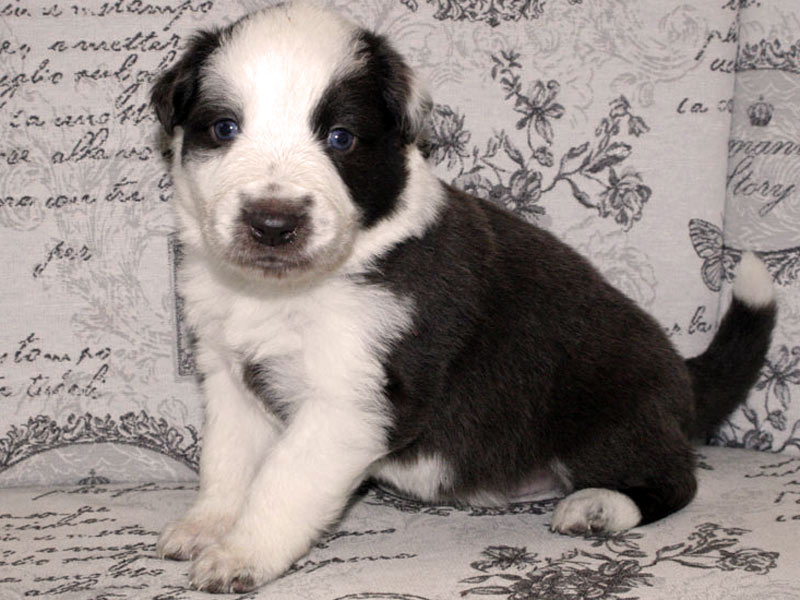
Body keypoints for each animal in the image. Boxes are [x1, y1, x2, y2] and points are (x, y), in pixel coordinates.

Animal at [148, 0, 776, 592]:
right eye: (224, 128)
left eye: (340, 138)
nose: (273, 223)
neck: (280, 292)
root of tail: (683, 374)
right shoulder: (228, 373)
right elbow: (227, 461)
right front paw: (207, 527)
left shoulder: (352, 399)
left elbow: (284, 480)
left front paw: (241, 555)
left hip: (609, 414)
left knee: (675, 480)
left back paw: (599, 505)